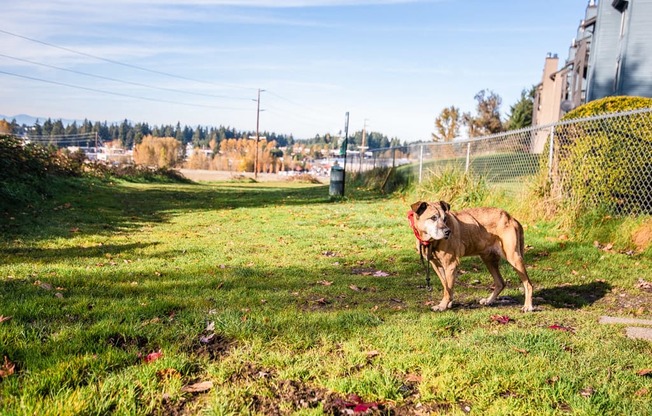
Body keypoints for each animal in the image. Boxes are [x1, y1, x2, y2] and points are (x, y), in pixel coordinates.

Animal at [408, 201, 536, 312]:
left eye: (445, 219)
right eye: (433, 218)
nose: (448, 232)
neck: (430, 241)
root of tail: (511, 218)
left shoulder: (451, 265)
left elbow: (448, 289)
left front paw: (442, 306)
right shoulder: (437, 266)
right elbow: (447, 286)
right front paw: (448, 303)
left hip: (514, 258)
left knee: (528, 284)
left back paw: (528, 306)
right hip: (488, 260)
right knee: (500, 283)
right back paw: (489, 300)